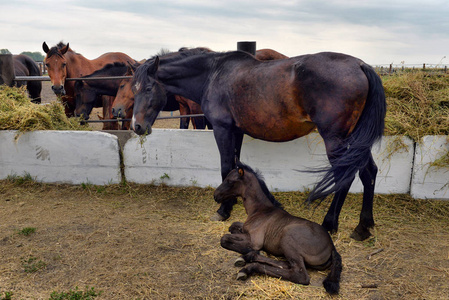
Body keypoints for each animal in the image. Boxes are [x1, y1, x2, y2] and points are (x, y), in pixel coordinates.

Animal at [130, 49, 384, 241]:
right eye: (134, 89)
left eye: (149, 88)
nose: (137, 126)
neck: (214, 74)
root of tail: (361, 65)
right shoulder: (237, 131)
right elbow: (235, 166)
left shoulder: (222, 129)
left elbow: (225, 167)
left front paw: (223, 210)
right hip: (356, 141)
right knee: (369, 172)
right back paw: (363, 226)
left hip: (336, 140)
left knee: (345, 176)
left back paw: (329, 224)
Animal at [215, 162, 342, 296]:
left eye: (229, 181)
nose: (215, 195)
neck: (260, 210)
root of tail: (332, 246)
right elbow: (233, 226)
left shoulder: (255, 241)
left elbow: (225, 238)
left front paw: (253, 250)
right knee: (286, 264)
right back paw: (248, 258)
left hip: (287, 237)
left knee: (299, 275)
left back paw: (248, 267)